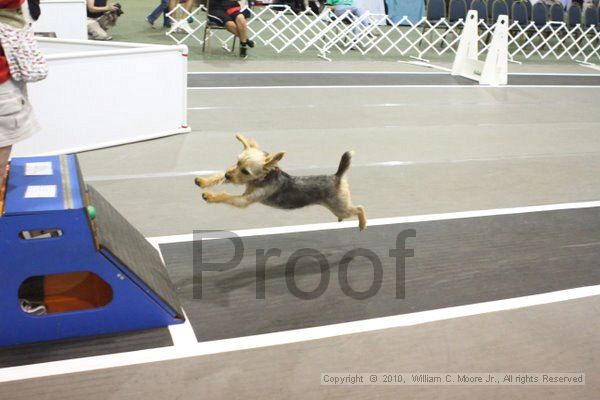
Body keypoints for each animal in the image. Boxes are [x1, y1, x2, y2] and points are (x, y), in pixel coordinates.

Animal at [196, 133, 366, 230]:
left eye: (246, 171)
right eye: (237, 162)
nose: (228, 174)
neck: (261, 179)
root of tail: (337, 176)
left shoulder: (245, 200)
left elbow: (227, 196)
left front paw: (210, 196)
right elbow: (218, 177)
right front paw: (203, 181)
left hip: (340, 206)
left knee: (359, 208)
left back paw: (362, 224)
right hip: (339, 208)